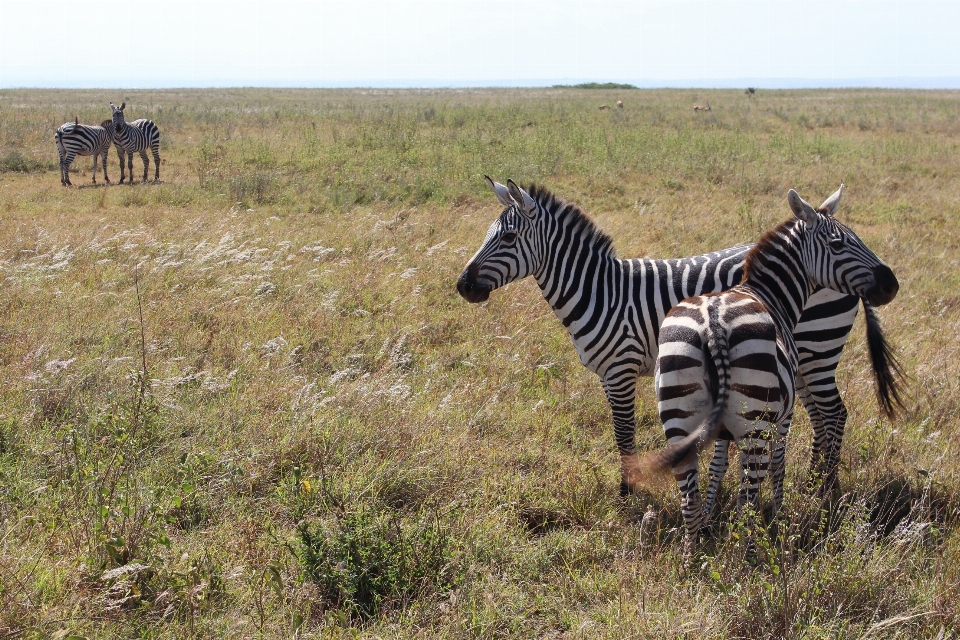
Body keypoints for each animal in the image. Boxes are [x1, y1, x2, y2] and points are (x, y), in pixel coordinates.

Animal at [454, 178, 904, 498]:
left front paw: (627, 494)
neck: (601, 291)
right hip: (801, 357)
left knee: (833, 413)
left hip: (817, 347)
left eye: (508, 238)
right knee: (821, 416)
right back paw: (813, 484)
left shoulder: (620, 370)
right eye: (492, 234)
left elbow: (623, 433)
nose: (463, 286)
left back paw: (824, 490)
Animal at [636, 182, 900, 556]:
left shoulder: (721, 425)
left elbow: (718, 464)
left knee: (688, 494)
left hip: (678, 411)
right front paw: (777, 513)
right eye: (838, 245)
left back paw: (692, 555)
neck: (769, 294)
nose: (891, 285)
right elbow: (779, 463)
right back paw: (752, 551)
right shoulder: (783, 415)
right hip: (756, 423)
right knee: (750, 492)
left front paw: (711, 517)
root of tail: (712, 323)